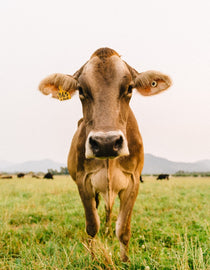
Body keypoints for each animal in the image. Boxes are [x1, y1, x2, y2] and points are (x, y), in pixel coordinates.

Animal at [38, 47, 171, 262]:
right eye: (81, 90)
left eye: (130, 88)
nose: (106, 143)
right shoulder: (83, 181)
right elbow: (92, 226)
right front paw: (93, 258)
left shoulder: (133, 181)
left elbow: (123, 229)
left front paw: (125, 261)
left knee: (110, 212)